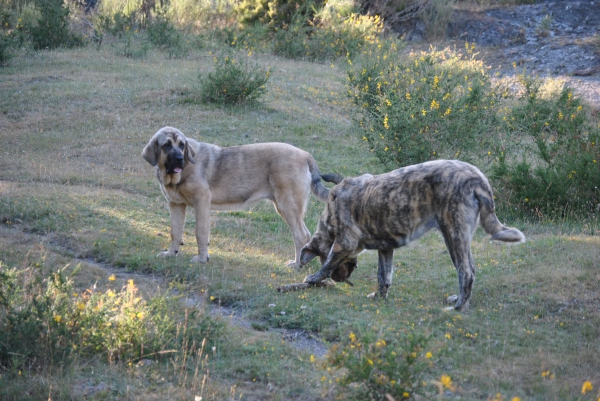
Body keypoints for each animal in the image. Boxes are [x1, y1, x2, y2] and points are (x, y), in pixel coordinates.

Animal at [142, 126, 338, 268]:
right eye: (167, 145)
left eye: (182, 145)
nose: (179, 159)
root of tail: (306, 155)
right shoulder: (175, 205)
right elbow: (175, 232)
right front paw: (170, 254)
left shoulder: (201, 202)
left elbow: (200, 232)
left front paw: (202, 258)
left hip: (288, 206)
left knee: (301, 235)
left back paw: (297, 264)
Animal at [300, 159, 524, 310]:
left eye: (321, 257)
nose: (338, 280)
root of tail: (476, 178)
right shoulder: (385, 248)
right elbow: (383, 275)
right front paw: (380, 296)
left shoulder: (344, 244)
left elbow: (329, 265)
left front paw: (313, 277)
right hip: (460, 237)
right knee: (472, 270)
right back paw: (461, 301)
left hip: (453, 234)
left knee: (466, 272)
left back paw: (458, 307)